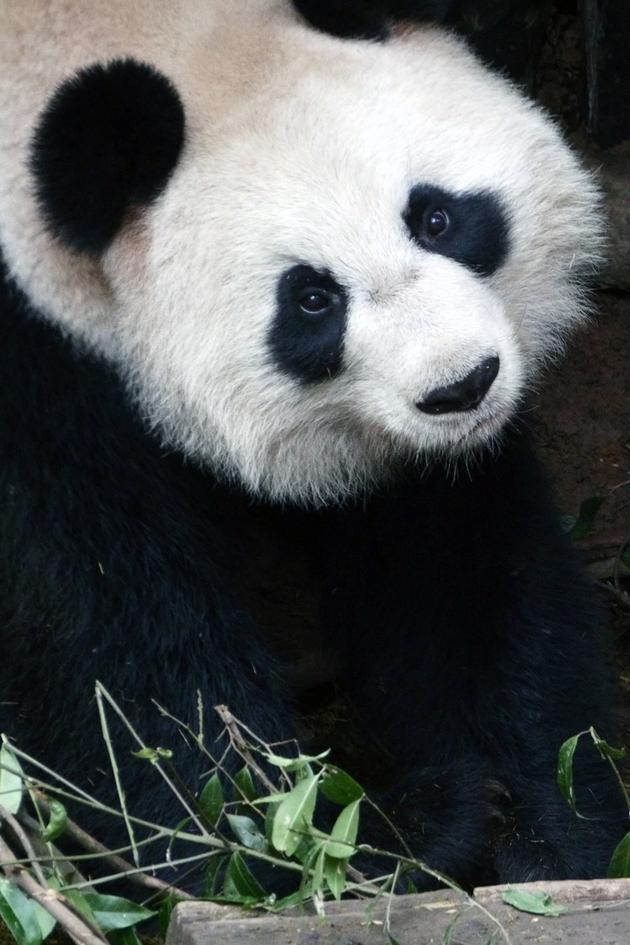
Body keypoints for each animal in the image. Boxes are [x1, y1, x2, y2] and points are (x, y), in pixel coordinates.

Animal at [0, 0, 624, 891]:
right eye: (312, 299)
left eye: (436, 216)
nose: (462, 386)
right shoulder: (36, 375)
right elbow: (97, 636)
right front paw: (328, 847)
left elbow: (459, 573)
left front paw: (527, 827)